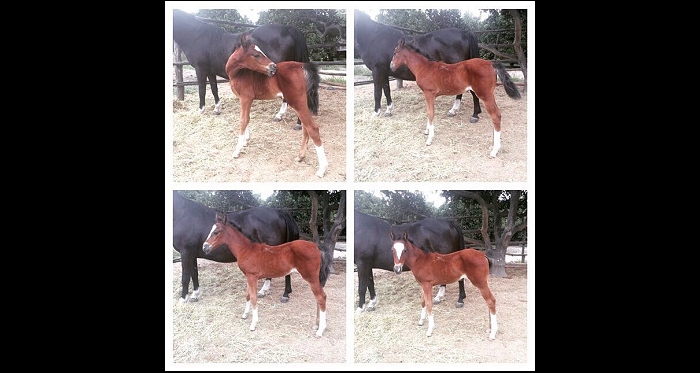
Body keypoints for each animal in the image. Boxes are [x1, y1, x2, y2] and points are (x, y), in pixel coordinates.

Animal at [173, 8, 308, 129]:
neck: (197, 36)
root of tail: (287, 28)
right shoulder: (210, 71)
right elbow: (214, 89)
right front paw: (217, 109)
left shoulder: (200, 69)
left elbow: (202, 90)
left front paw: (201, 110)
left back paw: (286, 118)